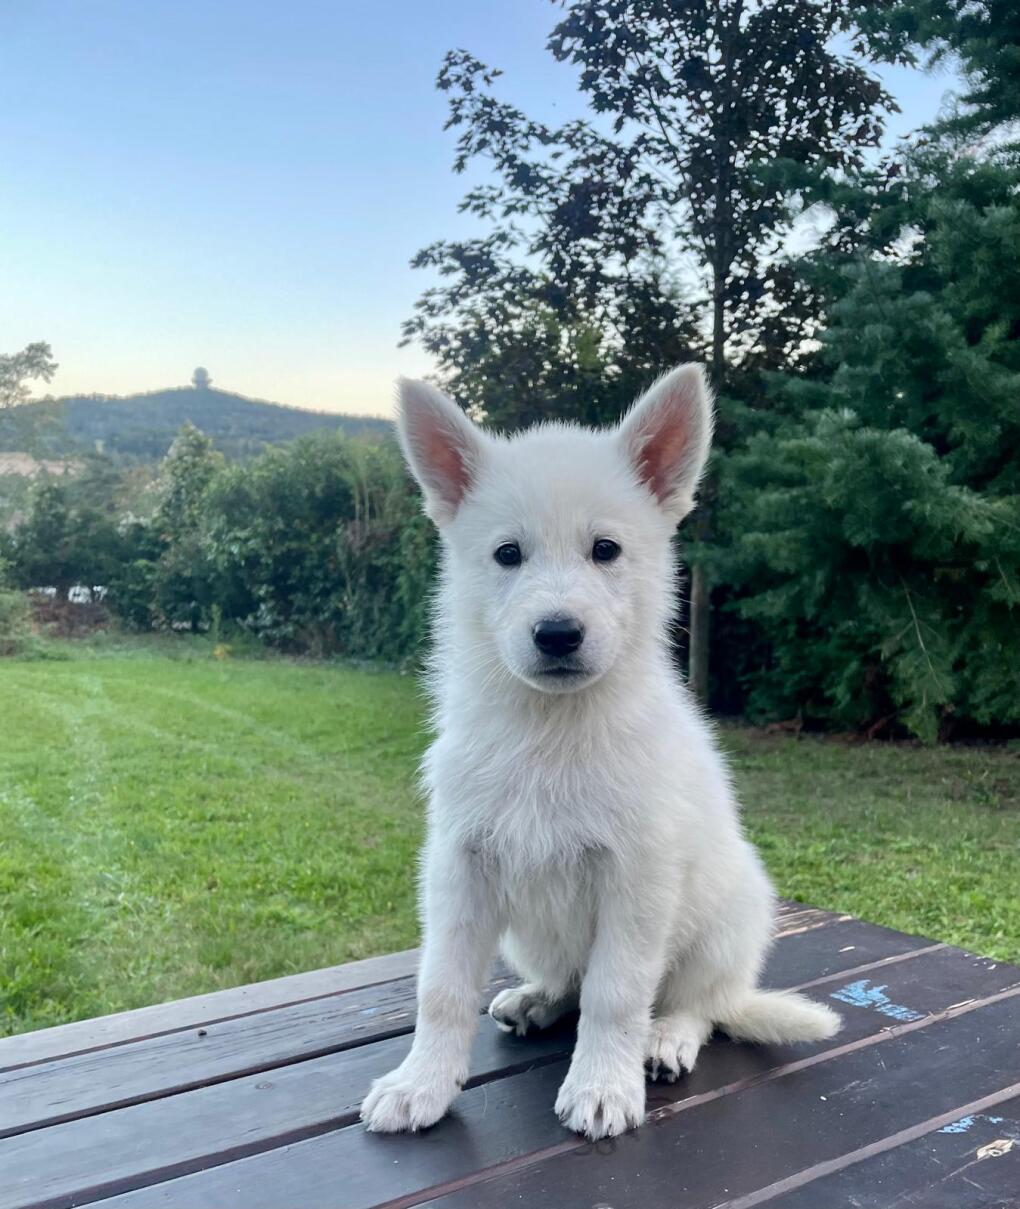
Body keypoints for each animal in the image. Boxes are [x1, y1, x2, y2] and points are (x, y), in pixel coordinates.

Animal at [360, 364, 840, 1141]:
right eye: (508, 554)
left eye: (606, 550)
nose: (557, 633)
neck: (551, 730)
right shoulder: (460, 865)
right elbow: (442, 987)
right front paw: (420, 1083)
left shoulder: (637, 877)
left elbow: (616, 993)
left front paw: (602, 1087)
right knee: (570, 980)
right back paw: (537, 999)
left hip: (728, 914)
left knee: (697, 1002)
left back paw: (665, 1038)